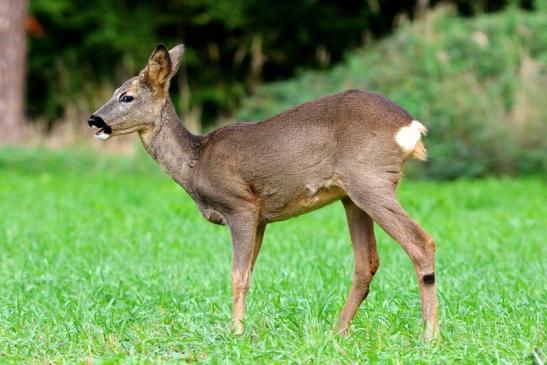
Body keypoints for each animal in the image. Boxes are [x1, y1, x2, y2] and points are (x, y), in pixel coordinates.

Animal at [90, 44, 440, 340]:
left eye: (126, 97)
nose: (94, 119)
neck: (196, 162)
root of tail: (411, 127)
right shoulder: (261, 219)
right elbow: (249, 274)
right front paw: (241, 328)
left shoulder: (241, 206)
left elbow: (237, 276)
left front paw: (236, 333)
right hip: (351, 196)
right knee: (366, 262)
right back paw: (336, 332)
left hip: (370, 180)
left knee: (421, 243)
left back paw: (429, 336)